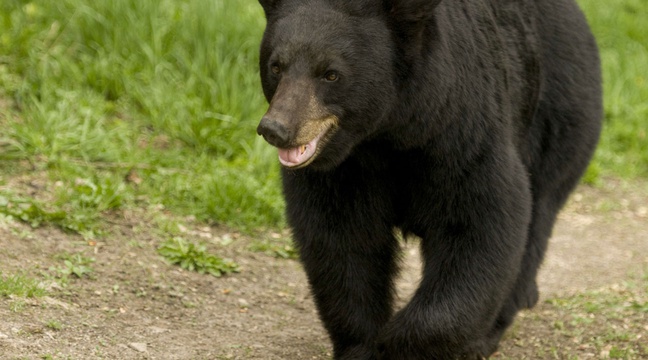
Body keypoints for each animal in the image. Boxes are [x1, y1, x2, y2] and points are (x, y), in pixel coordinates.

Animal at [256, 0, 600, 358]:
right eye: (276, 66)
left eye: (331, 73)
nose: (276, 129)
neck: (387, 135)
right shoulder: (343, 170)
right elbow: (341, 241)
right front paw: (362, 344)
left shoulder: (461, 135)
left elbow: (481, 225)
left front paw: (399, 343)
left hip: (557, 113)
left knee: (539, 212)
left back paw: (496, 324)